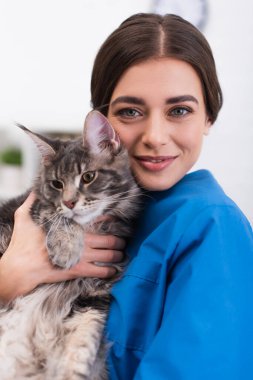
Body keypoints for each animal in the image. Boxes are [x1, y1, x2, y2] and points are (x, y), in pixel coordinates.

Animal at [0, 110, 140, 380]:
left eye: (88, 177)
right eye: (57, 184)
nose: (70, 202)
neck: (93, 228)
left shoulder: (94, 297)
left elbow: (83, 344)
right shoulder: (35, 206)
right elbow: (59, 217)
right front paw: (66, 251)